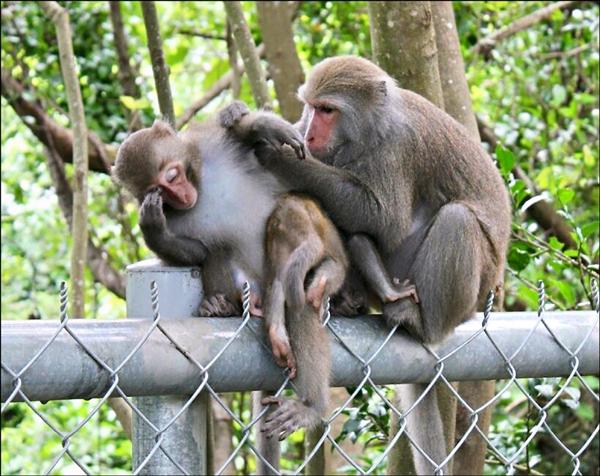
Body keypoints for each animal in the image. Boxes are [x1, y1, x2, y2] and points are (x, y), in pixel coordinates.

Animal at [220, 55, 510, 472]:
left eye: (327, 110)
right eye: (310, 107)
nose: (310, 133)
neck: (371, 130)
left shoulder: (397, 147)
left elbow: (384, 218)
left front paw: (274, 153)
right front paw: (242, 117)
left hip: (472, 287)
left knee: (457, 220)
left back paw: (420, 323)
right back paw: (350, 299)